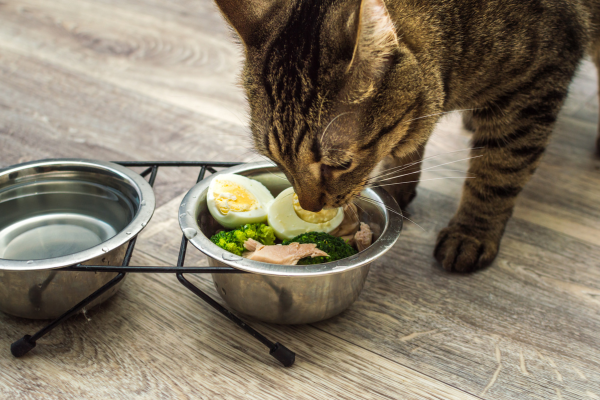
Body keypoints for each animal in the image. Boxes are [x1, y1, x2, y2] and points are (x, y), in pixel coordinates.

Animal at [211, 0, 600, 272]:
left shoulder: (532, 90)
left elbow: (497, 173)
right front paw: (397, 186)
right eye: (275, 159)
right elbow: (409, 142)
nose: (309, 209)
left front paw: (471, 232)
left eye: (340, 164)